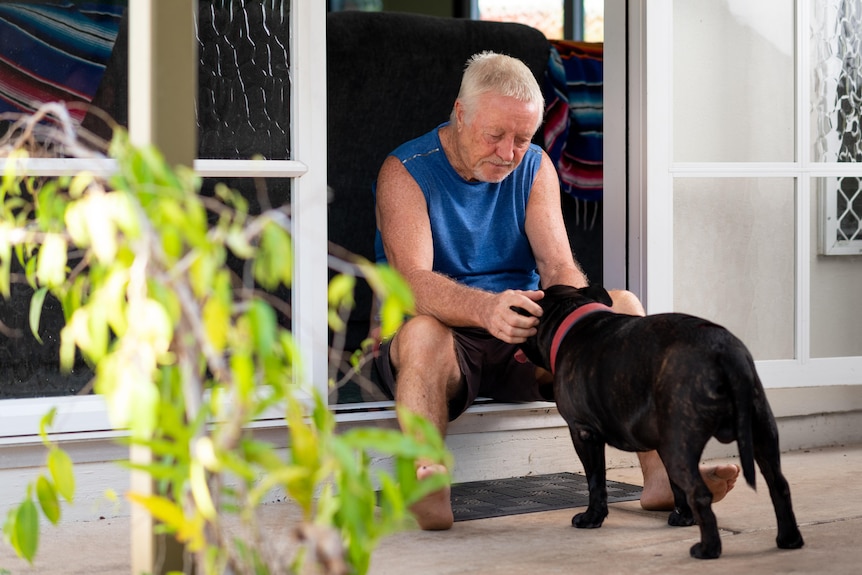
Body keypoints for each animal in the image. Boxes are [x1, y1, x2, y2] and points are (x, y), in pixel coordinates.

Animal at [516, 286, 808, 560]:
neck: (571, 316)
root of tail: (723, 351)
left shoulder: (584, 433)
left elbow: (596, 482)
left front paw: (591, 519)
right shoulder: (662, 442)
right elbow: (675, 486)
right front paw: (684, 518)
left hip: (682, 446)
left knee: (701, 494)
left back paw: (708, 549)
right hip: (758, 433)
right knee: (779, 486)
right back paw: (789, 539)